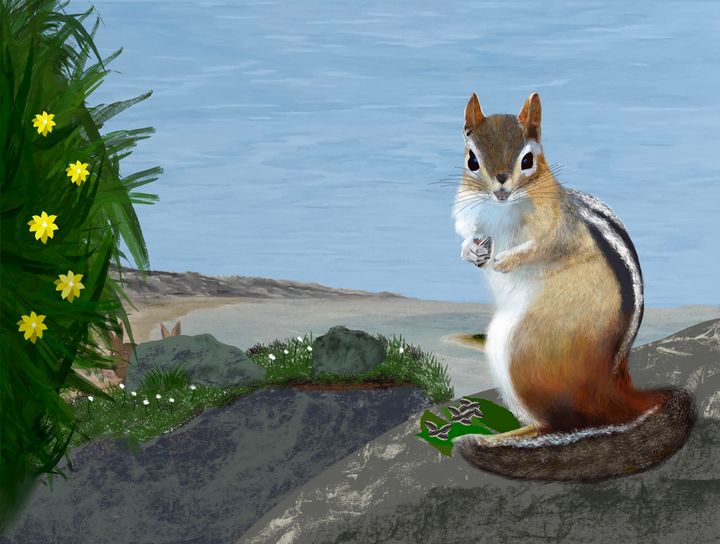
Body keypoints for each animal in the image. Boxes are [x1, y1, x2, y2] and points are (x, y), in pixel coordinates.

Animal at [452, 92, 695, 481]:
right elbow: (467, 238)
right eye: (472, 160)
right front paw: (471, 251)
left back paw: (507, 437)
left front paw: (504, 261)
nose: (501, 185)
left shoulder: (558, 230)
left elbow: (540, 247)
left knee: (561, 424)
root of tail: (613, 388)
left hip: (520, 349)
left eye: (528, 159)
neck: (503, 208)